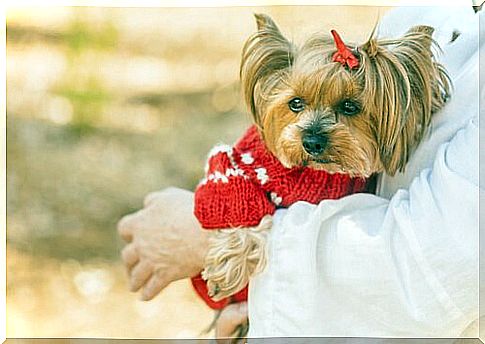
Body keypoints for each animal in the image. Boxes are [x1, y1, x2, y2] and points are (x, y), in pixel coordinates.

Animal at [189, 12, 450, 330]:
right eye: (295, 103)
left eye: (349, 106)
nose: (312, 141)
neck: (315, 172)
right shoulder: (232, 165)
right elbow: (235, 202)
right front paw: (227, 267)